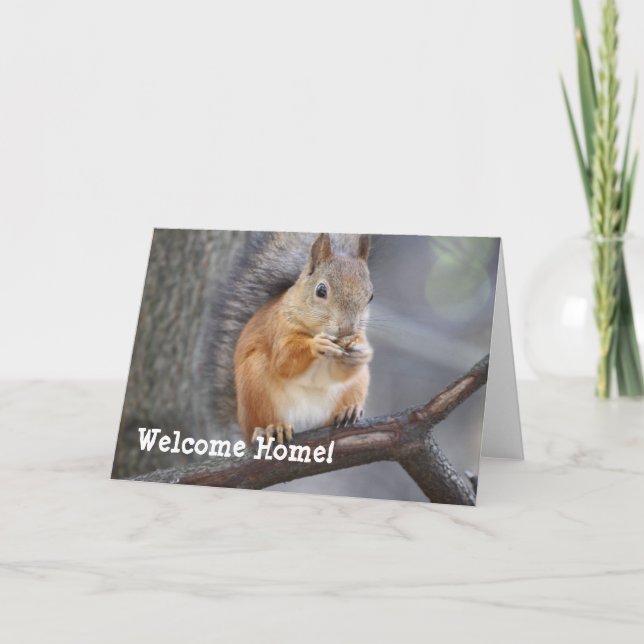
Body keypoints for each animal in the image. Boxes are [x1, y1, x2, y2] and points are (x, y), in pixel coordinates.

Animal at [229, 232, 374, 445]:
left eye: (371, 296)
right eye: (321, 290)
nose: (347, 329)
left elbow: (340, 373)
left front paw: (361, 353)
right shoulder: (278, 328)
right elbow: (284, 359)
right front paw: (317, 345)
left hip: (357, 385)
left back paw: (348, 411)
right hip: (255, 385)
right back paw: (273, 428)